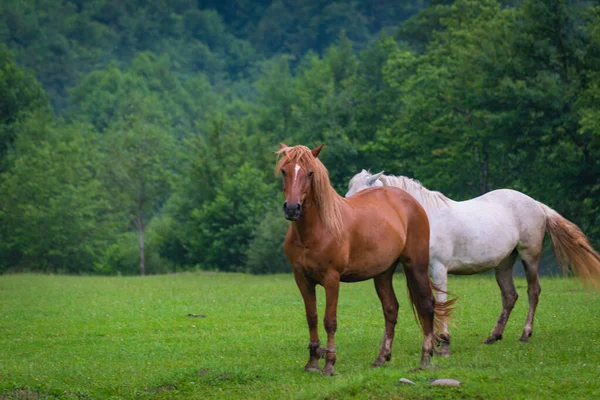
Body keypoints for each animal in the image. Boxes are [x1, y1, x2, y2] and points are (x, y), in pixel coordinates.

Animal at [276, 144, 454, 376]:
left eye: (310, 173)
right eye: (284, 171)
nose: (292, 208)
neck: (316, 229)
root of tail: (411, 202)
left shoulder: (331, 279)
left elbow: (329, 321)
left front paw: (329, 364)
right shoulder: (302, 278)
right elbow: (312, 317)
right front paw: (312, 362)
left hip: (416, 265)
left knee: (427, 304)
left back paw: (425, 358)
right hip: (383, 272)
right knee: (391, 309)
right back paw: (381, 358)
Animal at [344, 169, 600, 354]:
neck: (424, 217)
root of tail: (537, 204)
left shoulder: (438, 268)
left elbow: (440, 301)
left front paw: (444, 342)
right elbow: (427, 301)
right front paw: (435, 340)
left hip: (529, 256)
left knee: (533, 291)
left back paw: (525, 334)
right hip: (504, 263)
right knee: (510, 296)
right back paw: (493, 336)